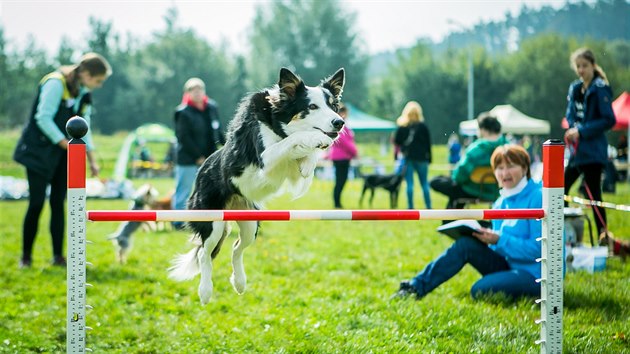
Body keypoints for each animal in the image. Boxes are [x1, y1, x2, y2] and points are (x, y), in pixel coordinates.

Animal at [168, 67, 346, 304]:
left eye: (333, 105)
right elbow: (296, 138)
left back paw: (239, 282)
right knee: (205, 254)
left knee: (236, 248)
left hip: (250, 221)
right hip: (212, 220)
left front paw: (309, 164)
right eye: (312, 106)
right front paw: (317, 139)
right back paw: (205, 292)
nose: (339, 122)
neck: (279, 123)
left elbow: (304, 156)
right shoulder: (266, 158)